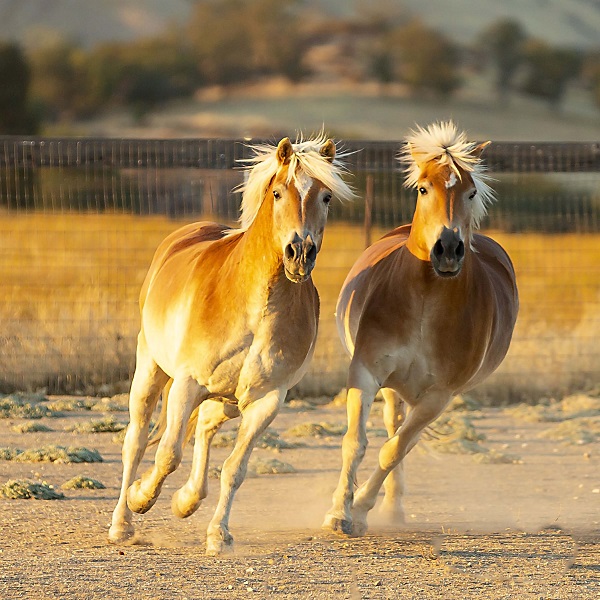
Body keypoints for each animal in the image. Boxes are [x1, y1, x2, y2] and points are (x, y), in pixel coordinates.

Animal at [108, 134, 354, 556]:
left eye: (326, 197)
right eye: (277, 192)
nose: (300, 254)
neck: (255, 305)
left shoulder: (266, 400)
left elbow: (235, 469)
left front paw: (218, 534)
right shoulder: (188, 383)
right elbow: (168, 454)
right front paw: (143, 497)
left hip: (227, 400)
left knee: (205, 429)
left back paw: (188, 499)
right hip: (151, 370)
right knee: (136, 441)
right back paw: (123, 522)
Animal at [324, 120, 520, 536]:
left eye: (471, 191)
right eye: (422, 188)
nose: (448, 248)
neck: (426, 302)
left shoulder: (439, 395)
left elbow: (394, 450)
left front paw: (360, 509)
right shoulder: (365, 372)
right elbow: (356, 442)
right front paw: (338, 512)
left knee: (401, 439)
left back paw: (391, 508)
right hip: (393, 387)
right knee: (392, 425)